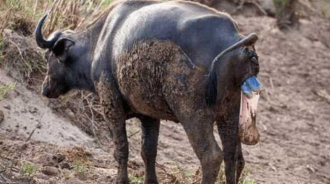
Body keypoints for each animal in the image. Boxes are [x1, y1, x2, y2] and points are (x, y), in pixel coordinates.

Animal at [34, 0, 262, 183]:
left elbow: (121, 149)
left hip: (193, 113)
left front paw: (121, 180)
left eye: (47, 57)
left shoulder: (111, 107)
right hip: (229, 112)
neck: (101, 41)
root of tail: (235, 39)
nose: (45, 89)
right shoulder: (149, 115)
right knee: (234, 157)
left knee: (211, 156)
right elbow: (148, 151)